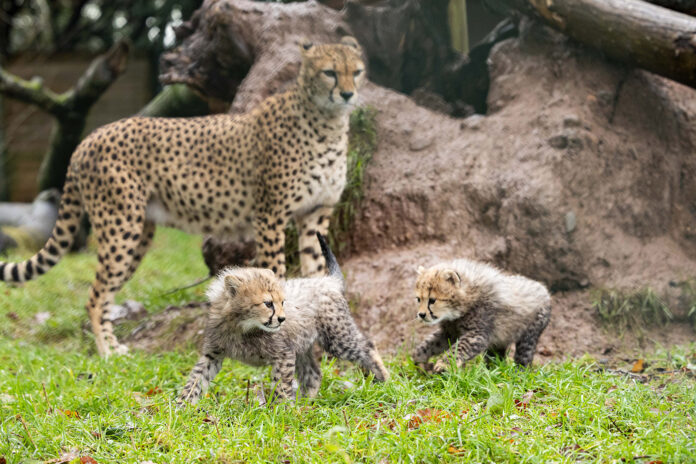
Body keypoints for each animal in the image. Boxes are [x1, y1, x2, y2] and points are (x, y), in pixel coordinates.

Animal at [0, 36, 366, 357]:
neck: (327, 122)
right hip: (121, 227)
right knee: (95, 296)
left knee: (105, 293)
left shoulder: (315, 214)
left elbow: (317, 272)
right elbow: (275, 274)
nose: (348, 93)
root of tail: (90, 137)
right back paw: (107, 353)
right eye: (329, 72)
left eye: (357, 71)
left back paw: (114, 346)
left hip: (136, 235)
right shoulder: (270, 216)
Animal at [177, 233, 389, 405]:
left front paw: (283, 411)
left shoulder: (284, 354)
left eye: (282, 302)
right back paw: (306, 403)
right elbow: (195, 379)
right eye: (268, 303)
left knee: (367, 346)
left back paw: (385, 380)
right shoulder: (212, 354)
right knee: (313, 374)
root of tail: (326, 280)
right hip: (302, 344)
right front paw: (182, 406)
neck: (243, 326)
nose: (281, 319)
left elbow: (281, 385)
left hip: (336, 337)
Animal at [411, 259, 551, 373]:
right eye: (418, 299)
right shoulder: (450, 333)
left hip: (529, 335)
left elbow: (458, 348)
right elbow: (430, 344)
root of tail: (543, 288)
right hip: (499, 340)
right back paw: (492, 372)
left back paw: (519, 374)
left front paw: (444, 364)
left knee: (524, 357)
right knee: (496, 357)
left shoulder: (477, 335)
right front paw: (419, 358)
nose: (421, 314)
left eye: (432, 300)